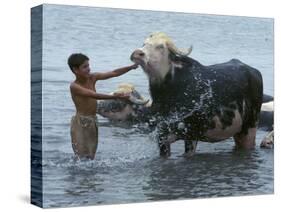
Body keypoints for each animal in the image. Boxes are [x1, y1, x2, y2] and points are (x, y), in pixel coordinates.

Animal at [130, 32, 262, 157]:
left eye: (160, 46)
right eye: (144, 43)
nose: (137, 53)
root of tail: (253, 71)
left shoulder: (191, 134)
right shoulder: (162, 137)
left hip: (250, 127)